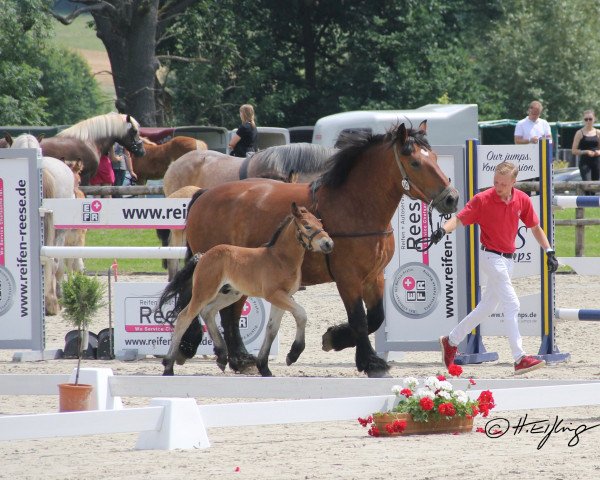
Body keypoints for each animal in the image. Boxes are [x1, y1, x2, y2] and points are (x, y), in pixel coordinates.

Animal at [159, 201, 336, 376]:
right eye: (307, 226)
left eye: (320, 223)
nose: (329, 243)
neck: (280, 259)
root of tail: (203, 255)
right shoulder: (275, 295)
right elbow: (301, 314)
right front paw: (293, 354)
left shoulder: (283, 297)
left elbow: (272, 329)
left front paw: (264, 368)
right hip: (204, 291)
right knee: (184, 317)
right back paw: (168, 367)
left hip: (231, 294)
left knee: (207, 311)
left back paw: (221, 357)